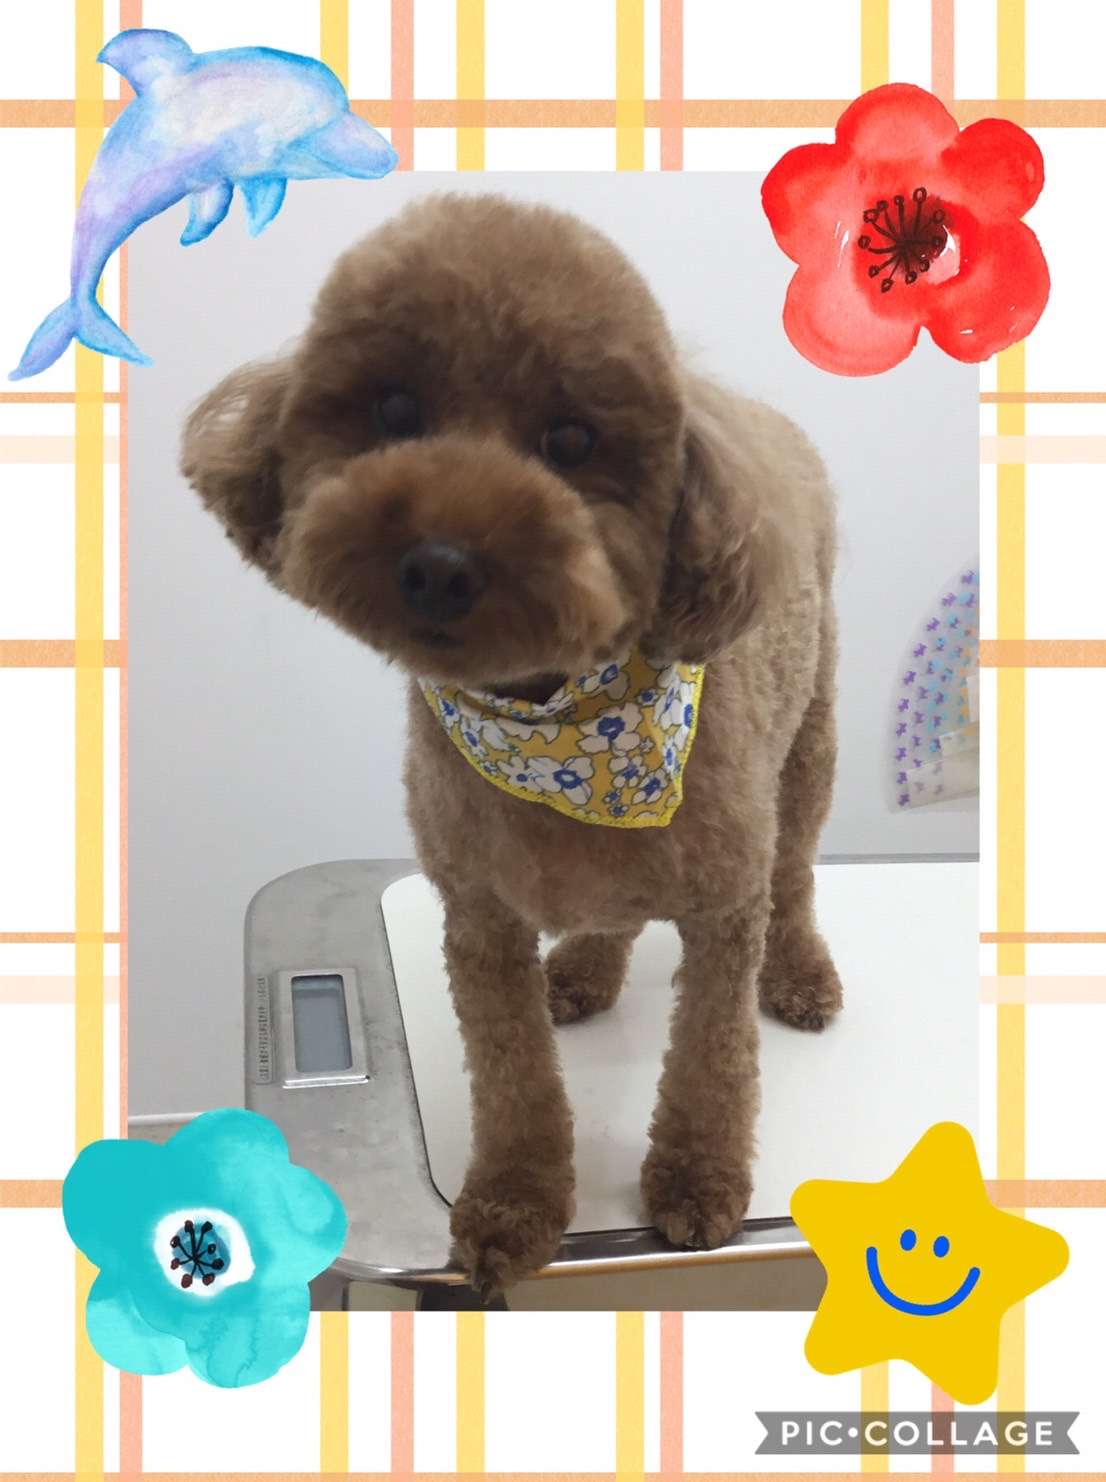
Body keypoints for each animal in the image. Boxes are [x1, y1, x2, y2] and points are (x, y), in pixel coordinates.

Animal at [181, 192, 841, 1297]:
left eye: (571, 438)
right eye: (394, 410)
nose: (442, 563)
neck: (561, 729)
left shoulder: (721, 909)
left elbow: (712, 1060)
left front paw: (697, 1180)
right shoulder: (478, 918)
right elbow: (514, 1080)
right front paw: (511, 1209)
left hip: (807, 746)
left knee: (793, 870)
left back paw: (796, 971)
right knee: (617, 911)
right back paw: (584, 966)